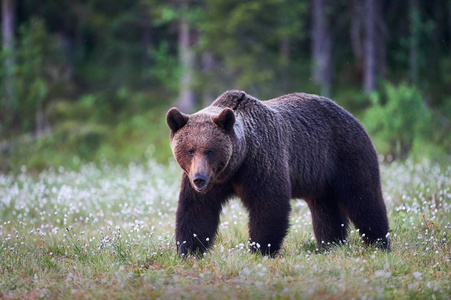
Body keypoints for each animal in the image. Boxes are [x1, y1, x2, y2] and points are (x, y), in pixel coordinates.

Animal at [168, 90, 390, 256]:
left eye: (209, 150)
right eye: (190, 150)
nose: (199, 179)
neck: (235, 165)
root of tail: (351, 115)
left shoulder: (262, 161)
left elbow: (268, 203)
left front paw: (261, 249)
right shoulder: (213, 182)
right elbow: (197, 210)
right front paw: (189, 250)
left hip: (346, 155)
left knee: (363, 198)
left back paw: (379, 243)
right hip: (321, 178)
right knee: (326, 210)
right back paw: (332, 244)